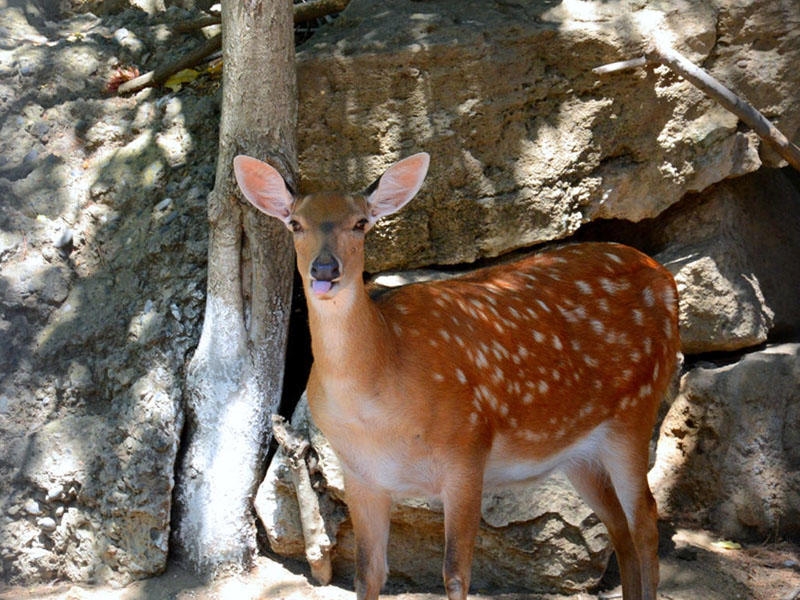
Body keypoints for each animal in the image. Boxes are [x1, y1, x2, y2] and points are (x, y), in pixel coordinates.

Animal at [234, 154, 680, 600]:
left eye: (360, 223)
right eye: (295, 223)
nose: (325, 269)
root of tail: (666, 277)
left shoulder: (467, 449)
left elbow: (455, 573)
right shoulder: (359, 472)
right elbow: (367, 573)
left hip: (637, 406)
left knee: (645, 518)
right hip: (579, 452)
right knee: (618, 525)